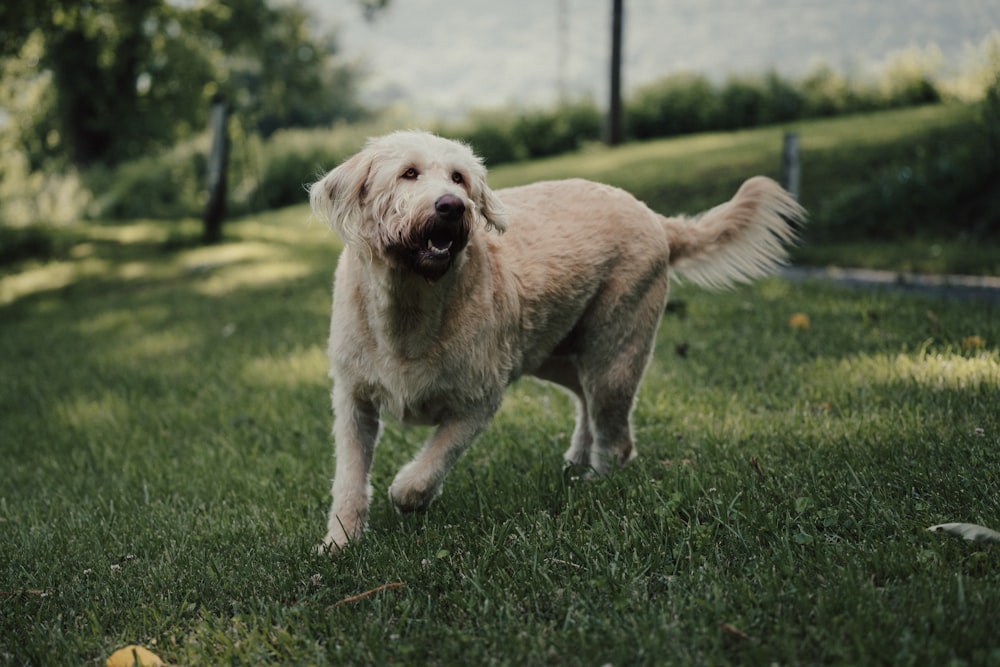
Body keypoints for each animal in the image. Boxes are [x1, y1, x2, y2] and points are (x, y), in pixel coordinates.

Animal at [308, 130, 800, 552]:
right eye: (408, 173)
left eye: (459, 177)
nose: (452, 206)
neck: (410, 305)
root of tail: (655, 218)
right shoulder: (353, 402)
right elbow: (349, 477)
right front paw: (339, 543)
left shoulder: (478, 401)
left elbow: (433, 462)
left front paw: (407, 493)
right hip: (553, 354)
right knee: (584, 399)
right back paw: (578, 458)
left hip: (613, 354)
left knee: (615, 430)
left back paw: (597, 481)